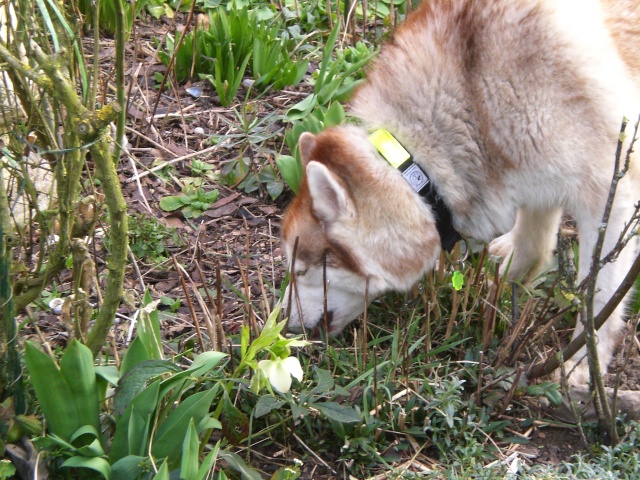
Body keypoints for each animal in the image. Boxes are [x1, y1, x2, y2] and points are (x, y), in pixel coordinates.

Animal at [282, 0, 640, 382]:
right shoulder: (529, 170)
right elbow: (535, 239)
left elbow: (599, 298)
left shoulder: (610, 193)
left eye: (300, 271)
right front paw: (512, 280)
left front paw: (583, 363)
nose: (284, 328)